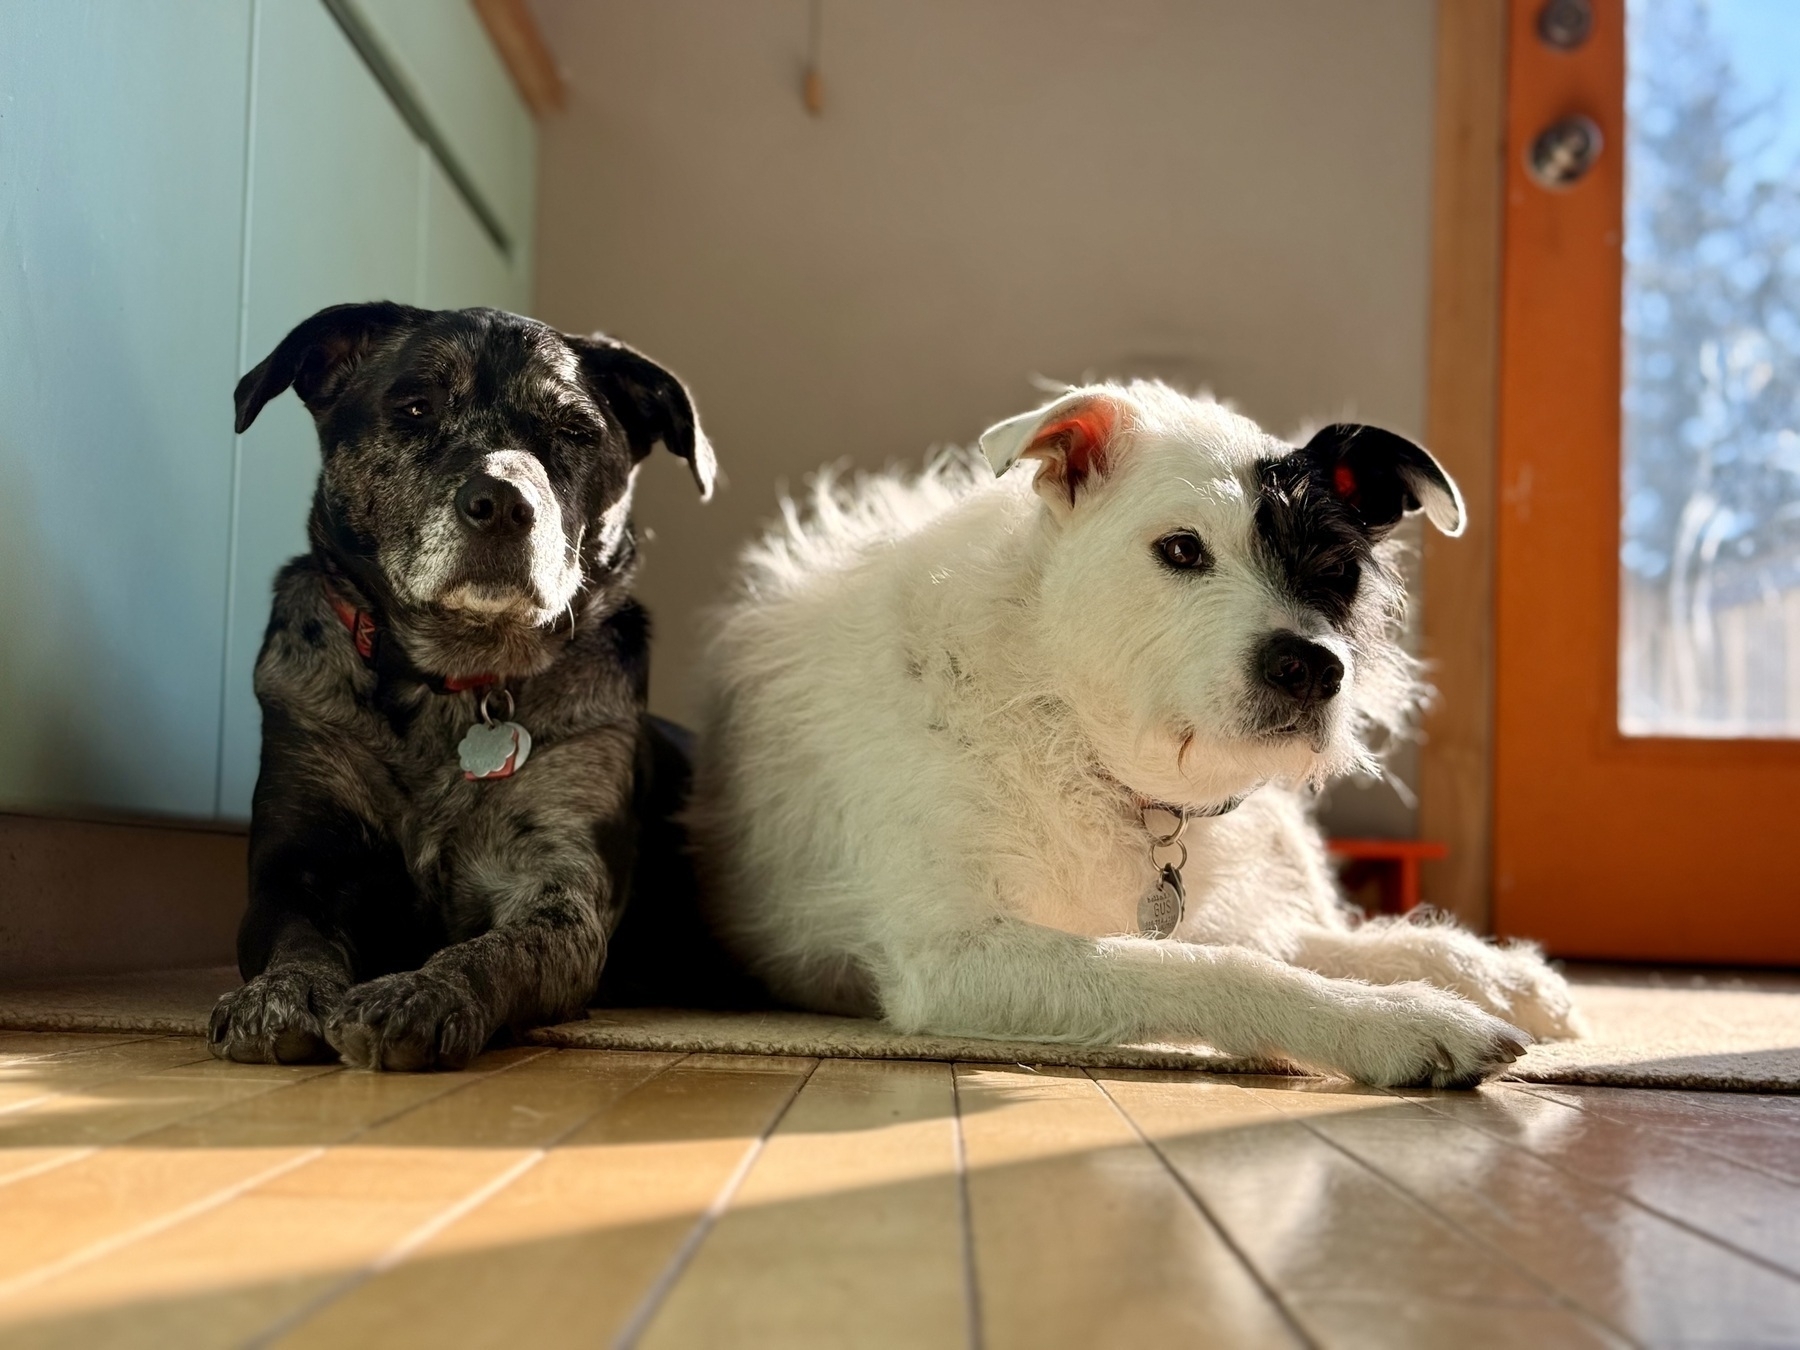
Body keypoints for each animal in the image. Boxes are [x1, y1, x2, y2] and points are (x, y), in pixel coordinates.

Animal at [208, 302, 715, 1070]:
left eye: (575, 432)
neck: (455, 681)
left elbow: (495, 950)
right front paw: (278, 996)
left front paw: (421, 994)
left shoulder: (561, 889)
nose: (503, 503)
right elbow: (297, 942)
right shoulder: (297, 866)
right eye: (416, 408)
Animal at [688, 382, 1582, 1088]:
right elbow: (1215, 966)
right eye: (1181, 549)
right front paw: (1398, 1023)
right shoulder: (955, 958)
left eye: (1340, 572)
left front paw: (1478, 977)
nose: (1312, 668)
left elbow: (1300, 943)